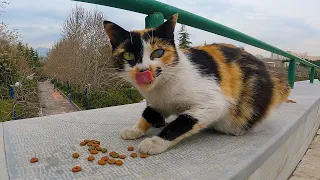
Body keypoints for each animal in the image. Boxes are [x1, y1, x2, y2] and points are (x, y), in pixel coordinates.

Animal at [102, 14, 290, 155]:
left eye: (158, 52)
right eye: (128, 55)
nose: (143, 70)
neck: (161, 88)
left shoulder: (213, 102)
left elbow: (182, 122)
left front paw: (155, 142)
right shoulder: (158, 103)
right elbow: (149, 113)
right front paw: (134, 130)